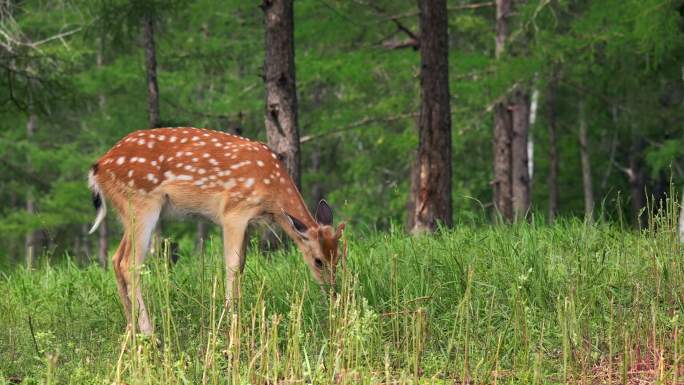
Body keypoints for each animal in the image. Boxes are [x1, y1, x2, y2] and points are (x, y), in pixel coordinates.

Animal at [88, 126, 344, 332]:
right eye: (318, 261)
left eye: (339, 257)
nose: (333, 293)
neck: (272, 195)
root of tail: (99, 167)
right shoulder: (234, 211)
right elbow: (231, 266)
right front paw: (229, 320)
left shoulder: (247, 223)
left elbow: (241, 266)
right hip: (142, 203)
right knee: (129, 263)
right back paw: (149, 331)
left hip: (127, 212)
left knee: (115, 258)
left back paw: (131, 328)